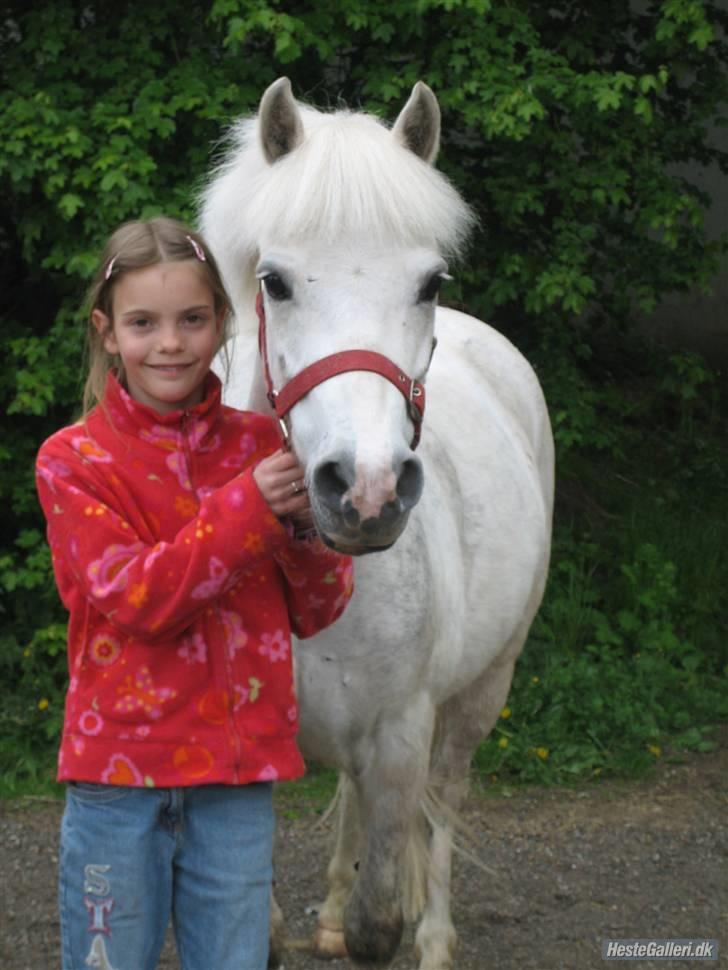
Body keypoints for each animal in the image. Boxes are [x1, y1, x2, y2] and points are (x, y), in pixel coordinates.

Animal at [199, 77, 552, 968]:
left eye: (430, 282)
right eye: (276, 281)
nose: (366, 490)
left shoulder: (399, 737)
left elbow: (378, 922)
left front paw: (392, 929)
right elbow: (262, 924)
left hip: (484, 688)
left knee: (446, 800)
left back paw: (438, 938)